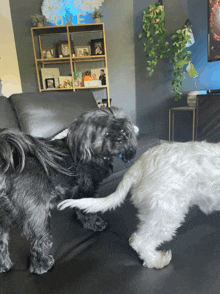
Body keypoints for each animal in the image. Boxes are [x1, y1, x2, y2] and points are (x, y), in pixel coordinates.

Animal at [0, 107, 137, 274]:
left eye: (124, 130)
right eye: (105, 132)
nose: (120, 138)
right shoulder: (86, 190)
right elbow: (88, 211)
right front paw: (96, 224)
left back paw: (4, 266)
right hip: (37, 214)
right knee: (39, 240)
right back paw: (43, 265)